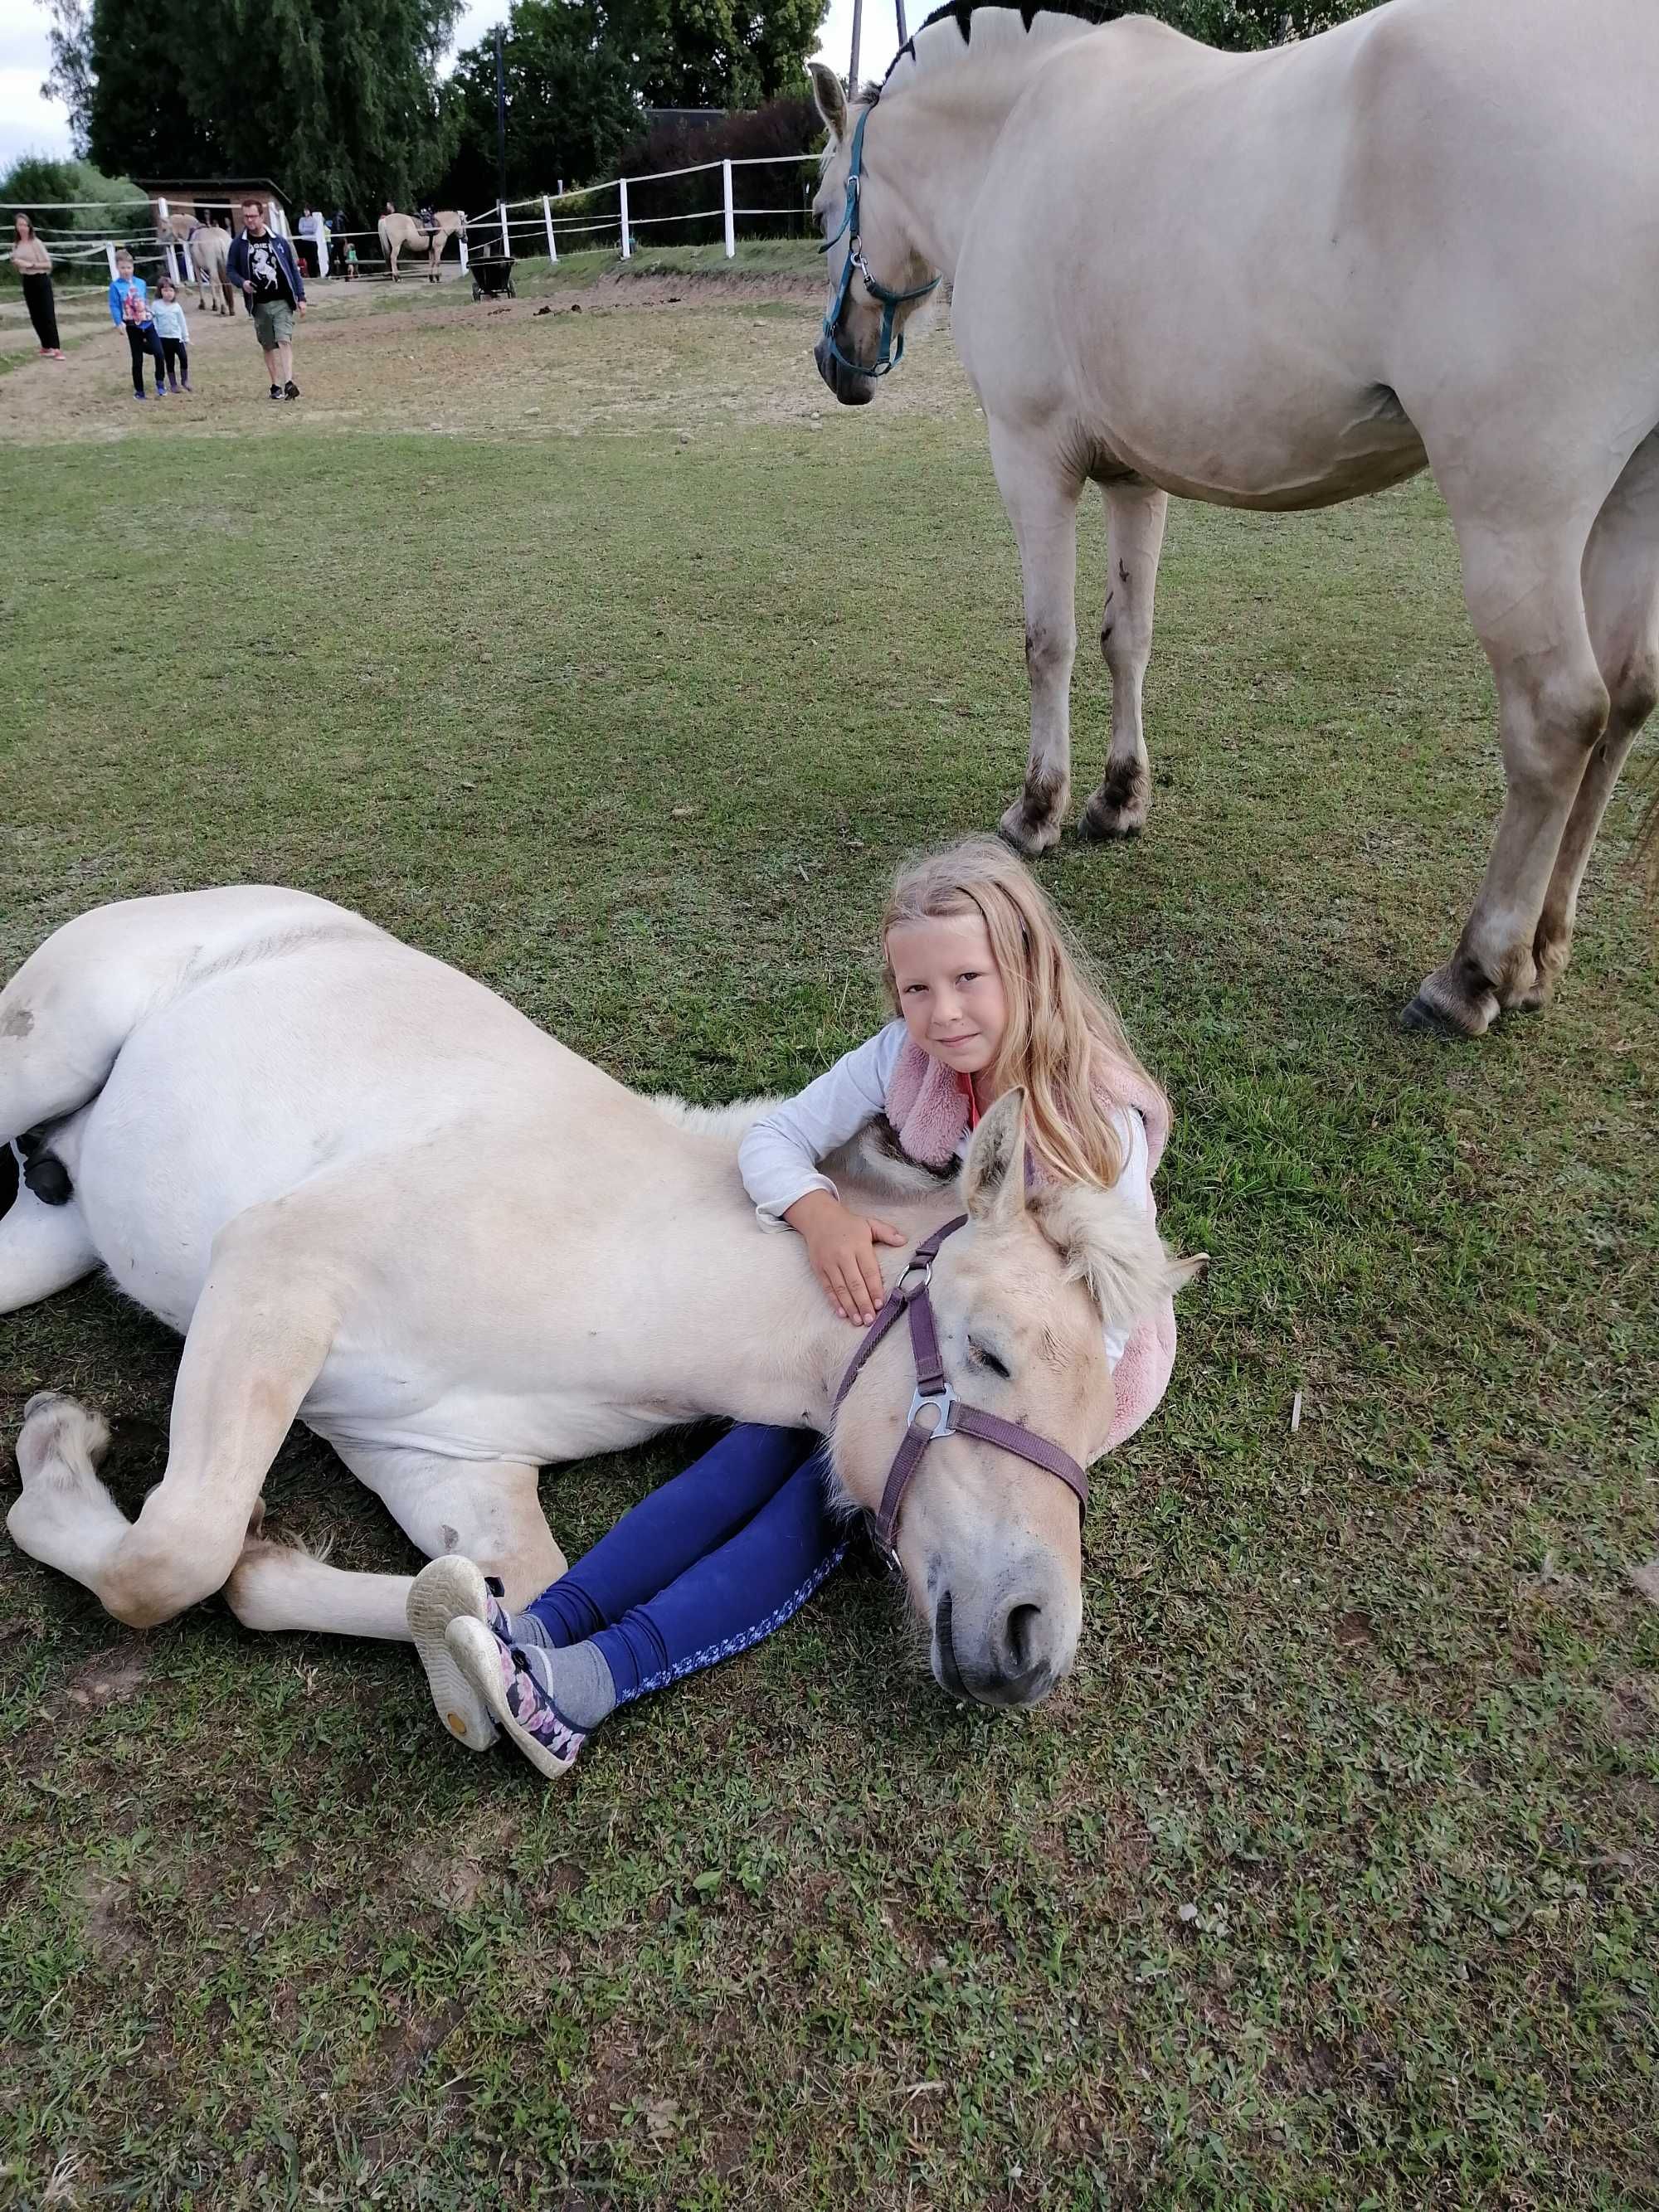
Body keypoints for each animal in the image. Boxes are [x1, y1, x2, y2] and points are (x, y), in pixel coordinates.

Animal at [2, 880, 1194, 1707]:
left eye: (1097, 1420)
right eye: (989, 1351)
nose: (1033, 1639)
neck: (629, 1262)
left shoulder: (441, 1460)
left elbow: (494, 1595)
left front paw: (273, 1554)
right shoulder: (275, 1269)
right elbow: (170, 1556)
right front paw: (61, 1460)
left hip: (54, 1239)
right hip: (47, 1059)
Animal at [814, 0, 1659, 1035]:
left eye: (822, 212)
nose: (838, 364)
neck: (1017, 128)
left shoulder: (1029, 459)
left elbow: (1048, 642)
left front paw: (1037, 812)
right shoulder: (1133, 479)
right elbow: (1124, 638)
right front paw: (1117, 801)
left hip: (1516, 513)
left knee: (1557, 718)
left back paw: (1473, 972)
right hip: (1626, 498)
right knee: (1624, 699)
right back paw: (1540, 954)